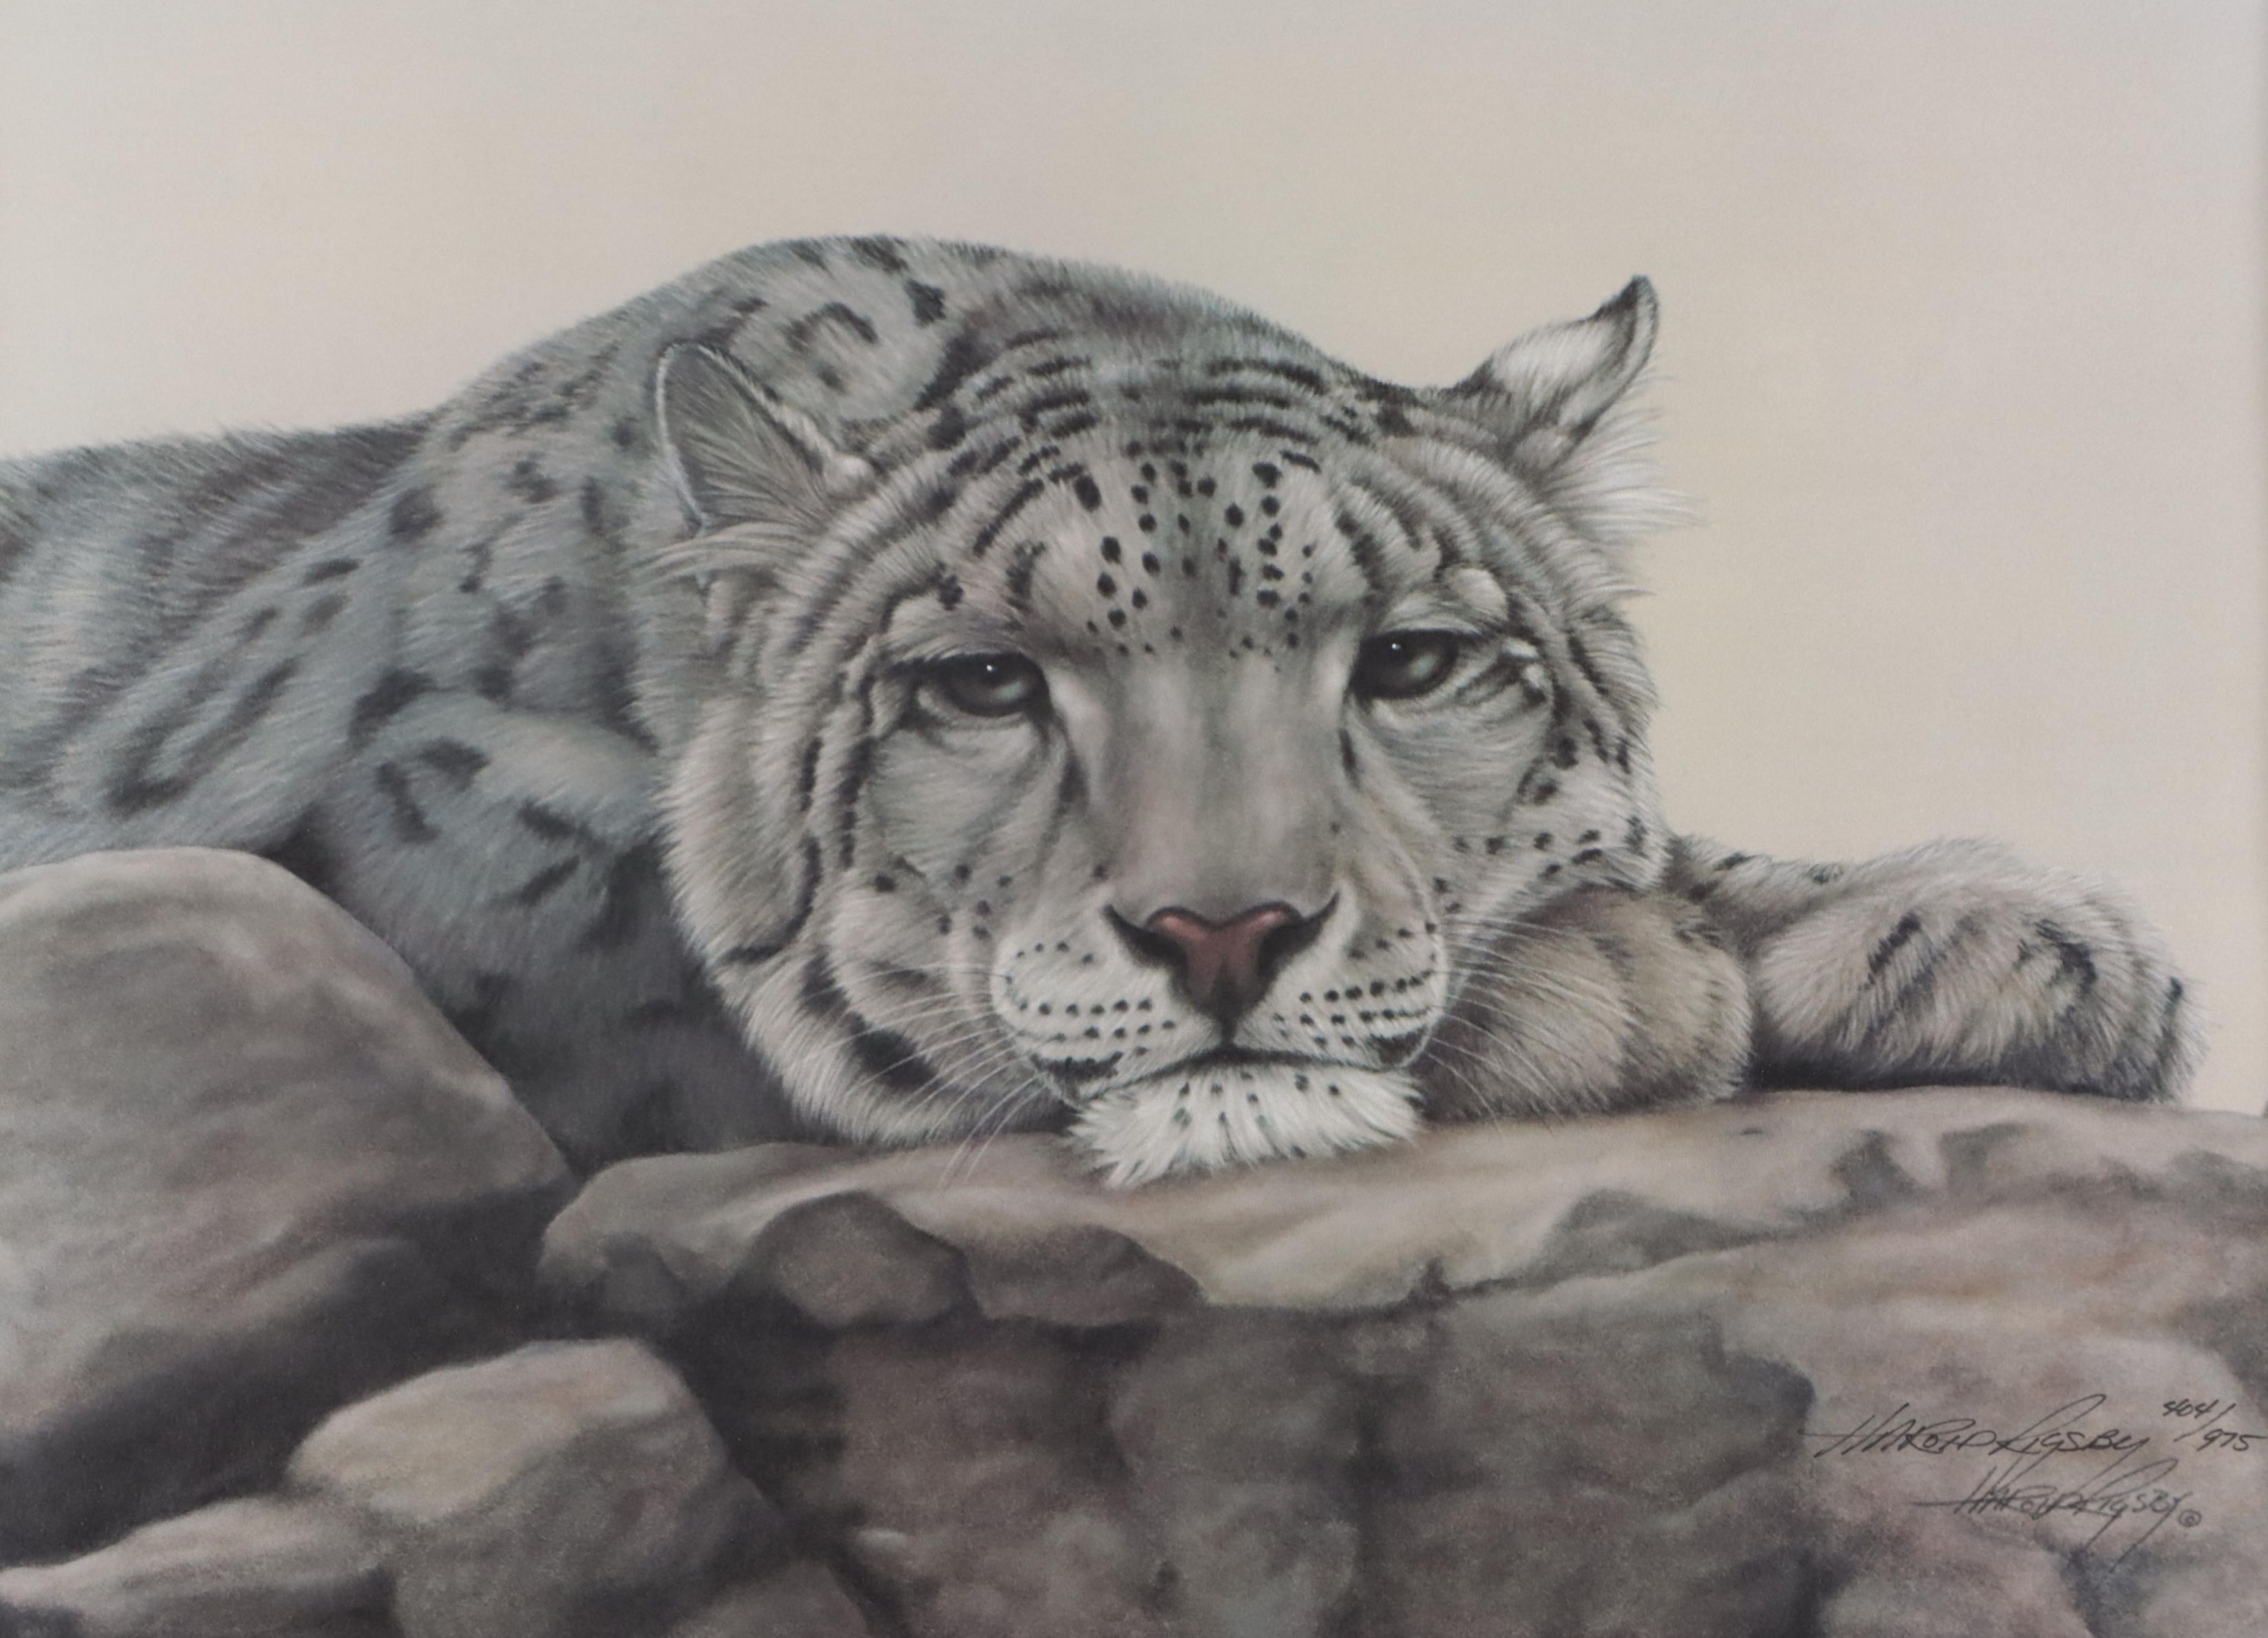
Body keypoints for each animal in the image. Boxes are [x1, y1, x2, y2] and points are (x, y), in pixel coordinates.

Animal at [0, 234, 2203, 1183]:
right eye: (980, 683)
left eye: (1408, 660)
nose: (1223, 933)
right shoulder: (447, 829)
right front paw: (1621, 981)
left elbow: (1693, 842)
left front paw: (2007, 938)